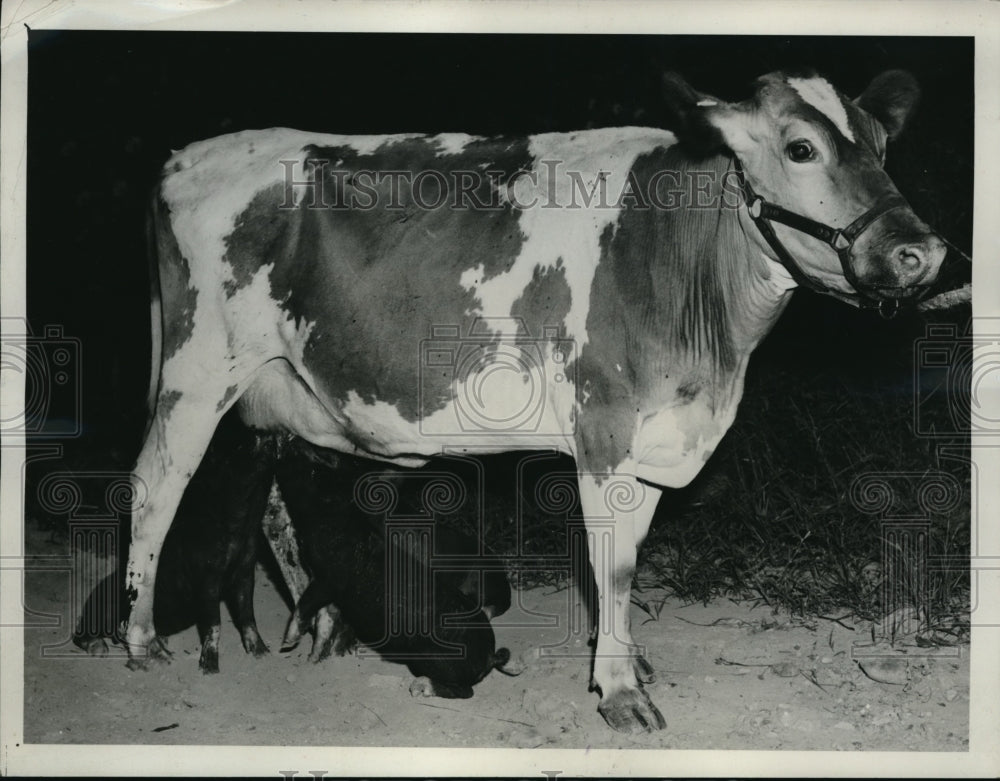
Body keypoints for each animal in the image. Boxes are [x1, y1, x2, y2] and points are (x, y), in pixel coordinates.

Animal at [123, 68, 945, 733]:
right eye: (801, 149)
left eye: (881, 145)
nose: (923, 251)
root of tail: (187, 156)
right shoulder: (604, 427)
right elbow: (612, 563)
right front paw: (620, 691)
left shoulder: (654, 437)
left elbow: (629, 555)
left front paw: (626, 658)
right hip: (200, 366)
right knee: (155, 485)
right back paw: (141, 639)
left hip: (277, 388)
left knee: (274, 508)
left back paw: (319, 629)